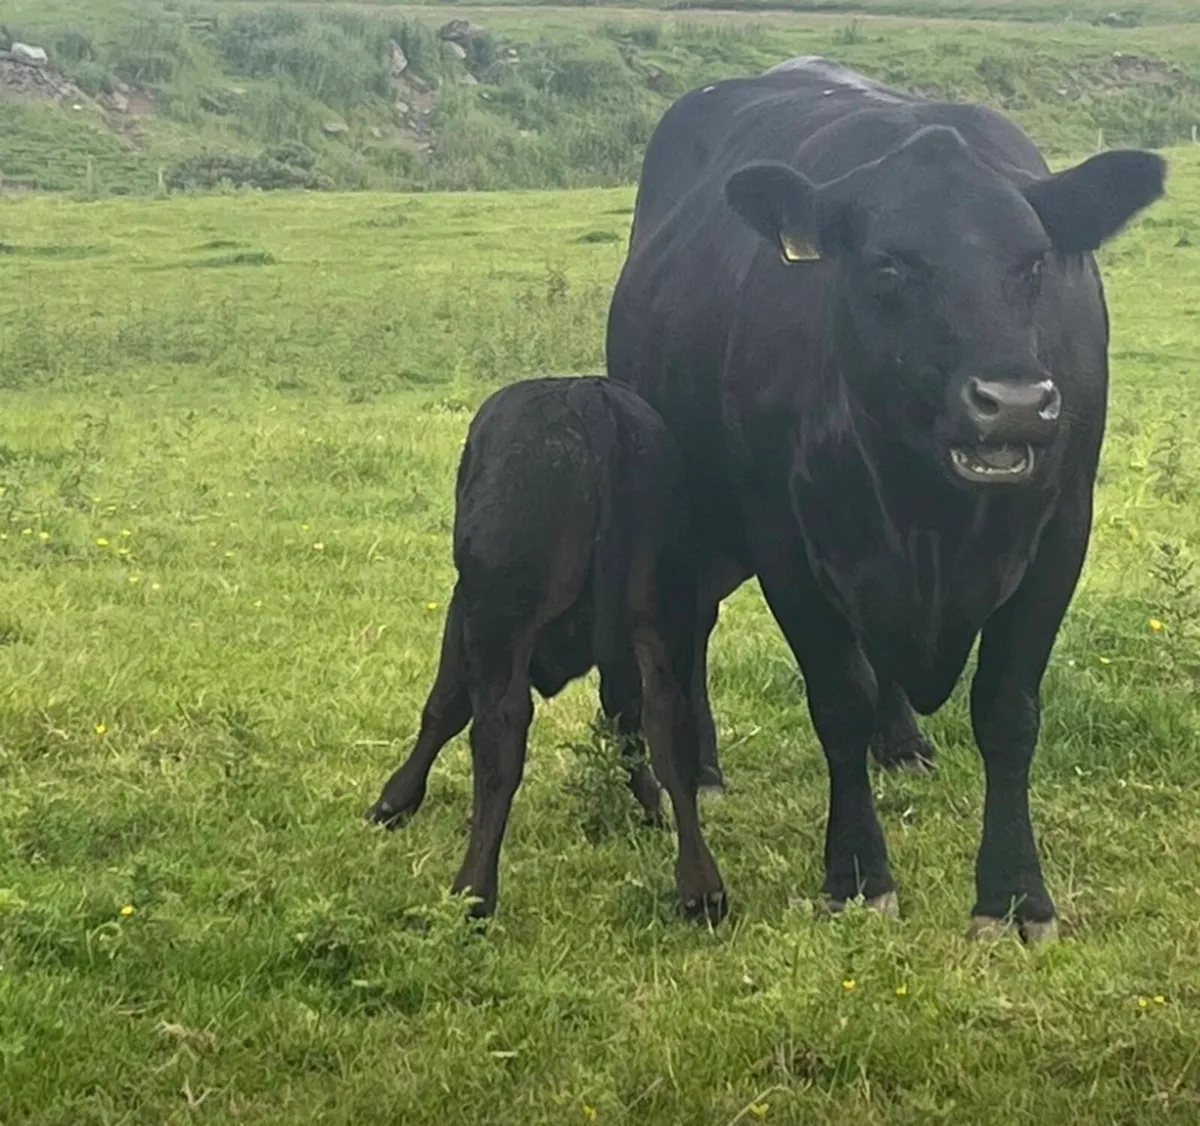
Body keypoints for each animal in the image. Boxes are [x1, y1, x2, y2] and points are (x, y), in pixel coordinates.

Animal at [365, 377, 724, 921]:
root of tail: (586, 394)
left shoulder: (460, 607)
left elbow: (443, 707)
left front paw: (395, 801)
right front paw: (647, 802)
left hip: (497, 613)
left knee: (499, 735)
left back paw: (473, 893)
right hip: (658, 611)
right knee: (667, 723)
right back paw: (702, 889)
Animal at [606, 57, 1166, 940]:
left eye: (1035, 264)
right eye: (890, 267)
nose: (1012, 402)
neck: (929, 511)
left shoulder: (1060, 530)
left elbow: (1008, 710)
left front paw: (1015, 895)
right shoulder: (786, 542)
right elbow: (839, 702)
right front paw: (859, 874)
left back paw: (902, 744)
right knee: (690, 631)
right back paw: (701, 771)